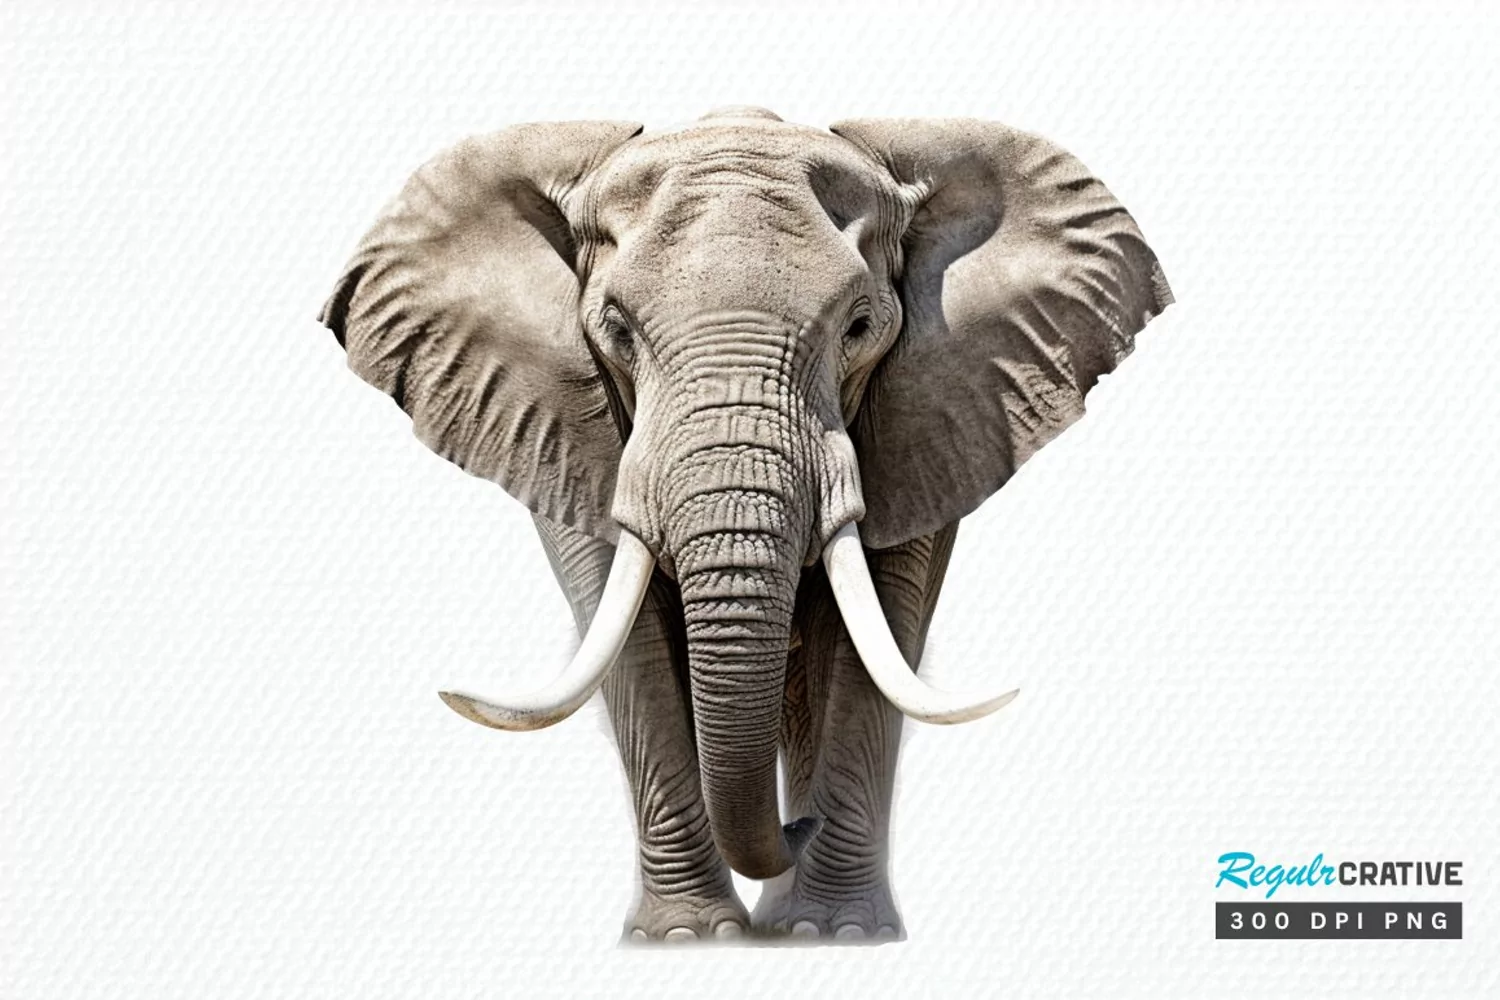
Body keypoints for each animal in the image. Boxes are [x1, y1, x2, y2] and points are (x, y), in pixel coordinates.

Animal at [318, 106, 1172, 944]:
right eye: (615, 329)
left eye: (859, 327)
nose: (797, 828)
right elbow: (628, 641)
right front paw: (689, 938)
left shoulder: (930, 412)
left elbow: (872, 641)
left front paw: (836, 933)